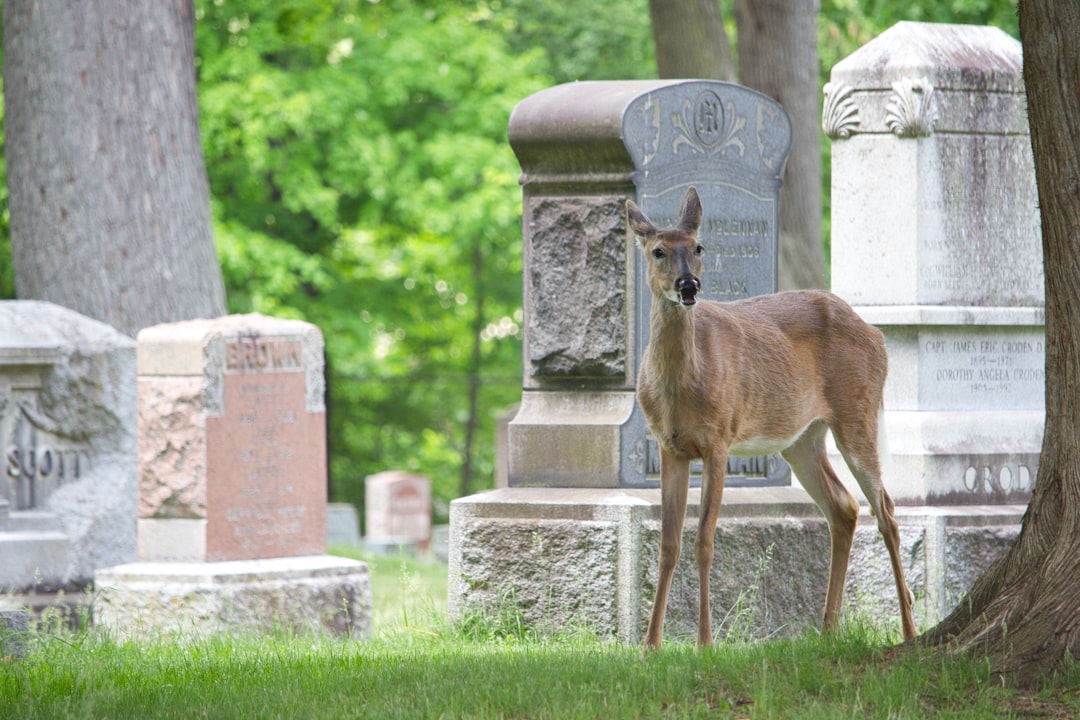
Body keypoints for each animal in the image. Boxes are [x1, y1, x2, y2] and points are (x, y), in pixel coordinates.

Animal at [630, 187, 915, 651]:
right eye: (658, 251)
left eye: (698, 247)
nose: (689, 285)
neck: (680, 388)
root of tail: (878, 334)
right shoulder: (669, 445)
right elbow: (668, 544)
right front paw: (650, 645)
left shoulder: (719, 437)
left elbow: (704, 540)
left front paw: (705, 643)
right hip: (802, 438)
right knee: (844, 507)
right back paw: (827, 631)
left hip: (858, 411)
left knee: (886, 511)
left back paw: (909, 631)